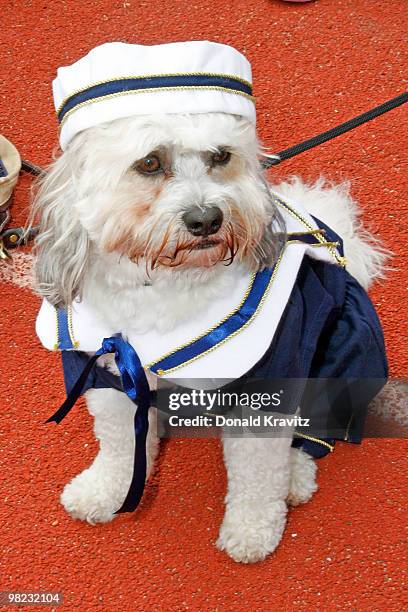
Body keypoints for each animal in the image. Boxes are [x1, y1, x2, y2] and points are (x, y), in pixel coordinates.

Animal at [32, 111, 386, 564]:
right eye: (150, 163)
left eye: (220, 156)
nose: (206, 219)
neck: (163, 283)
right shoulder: (109, 371)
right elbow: (118, 445)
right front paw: (104, 491)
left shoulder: (265, 387)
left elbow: (257, 473)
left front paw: (251, 531)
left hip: (342, 353)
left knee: (313, 432)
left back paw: (296, 476)